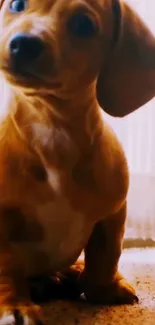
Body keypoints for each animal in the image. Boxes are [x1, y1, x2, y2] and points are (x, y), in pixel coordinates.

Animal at [0, 0, 155, 322]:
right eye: (18, 4)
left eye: (84, 25)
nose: (24, 43)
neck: (53, 129)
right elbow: (6, 266)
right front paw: (13, 305)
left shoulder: (113, 213)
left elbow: (106, 256)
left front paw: (103, 287)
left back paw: (69, 273)